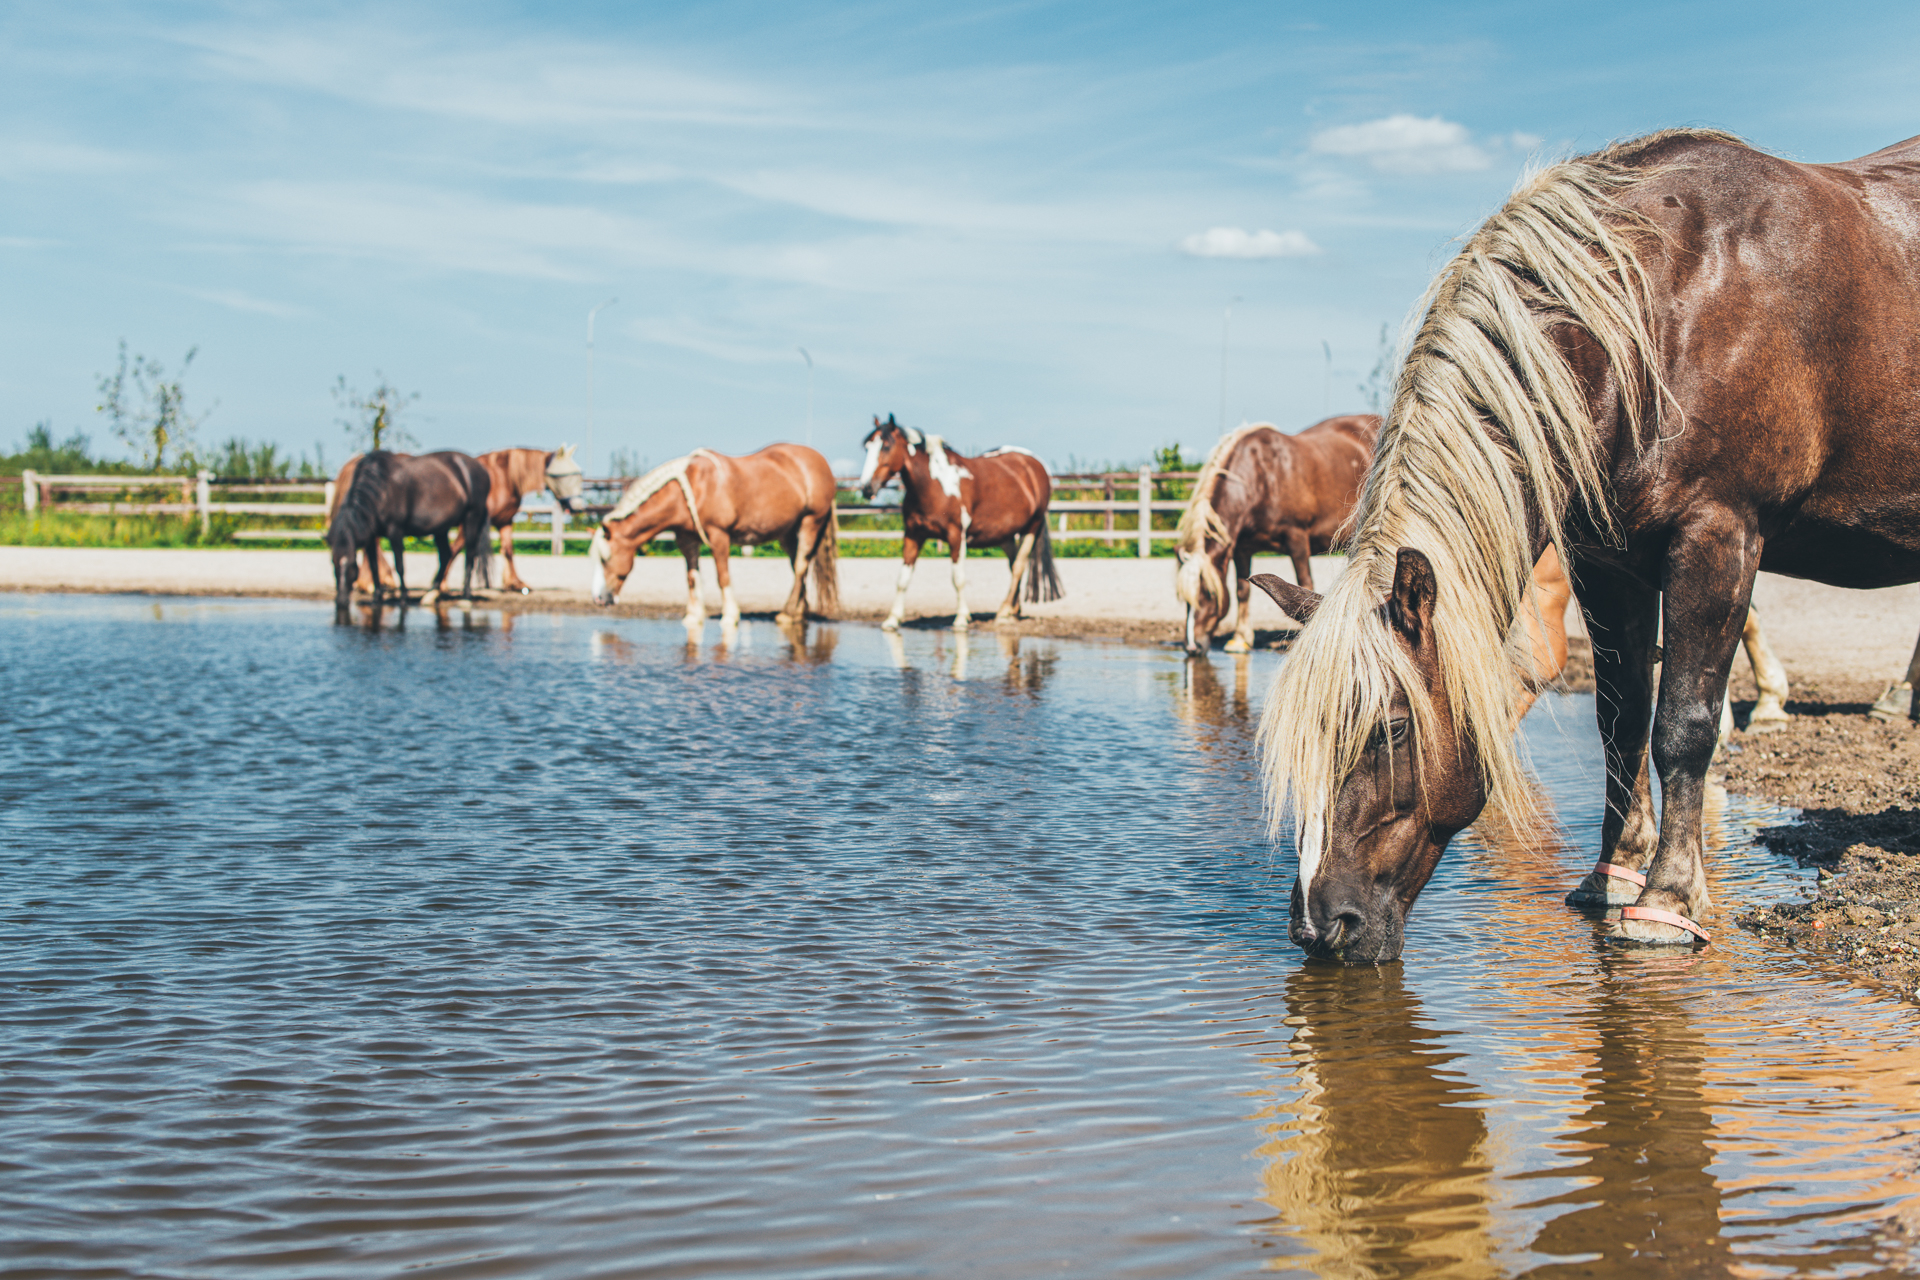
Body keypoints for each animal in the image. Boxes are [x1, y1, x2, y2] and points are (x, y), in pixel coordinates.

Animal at [324, 450, 491, 610]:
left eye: (352, 565)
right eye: (333, 563)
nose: (341, 602)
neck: (380, 489)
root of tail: (482, 469)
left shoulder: (395, 531)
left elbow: (400, 566)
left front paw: (403, 599)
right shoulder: (371, 536)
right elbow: (374, 567)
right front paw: (376, 599)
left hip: (472, 517)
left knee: (470, 555)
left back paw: (465, 597)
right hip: (441, 528)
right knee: (445, 555)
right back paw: (431, 594)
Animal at [587, 443, 837, 629]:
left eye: (605, 559)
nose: (598, 598)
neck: (694, 488)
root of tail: (820, 461)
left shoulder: (719, 536)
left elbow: (722, 577)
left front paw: (730, 616)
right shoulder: (686, 540)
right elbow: (692, 578)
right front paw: (693, 616)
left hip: (810, 522)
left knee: (801, 564)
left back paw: (786, 614)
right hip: (786, 532)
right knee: (797, 567)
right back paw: (799, 612)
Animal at [860, 416, 1067, 629]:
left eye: (886, 446)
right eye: (867, 447)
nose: (867, 487)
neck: (934, 485)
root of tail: (1035, 463)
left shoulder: (956, 536)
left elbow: (958, 578)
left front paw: (961, 618)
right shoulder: (913, 535)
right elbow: (902, 579)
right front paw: (892, 619)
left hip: (1032, 527)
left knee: (1018, 566)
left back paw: (1003, 612)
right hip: (1005, 534)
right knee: (1013, 565)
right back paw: (1012, 610)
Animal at [1167, 418, 1382, 656]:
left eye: (1210, 594)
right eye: (1184, 600)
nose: (1192, 647)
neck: (1261, 477)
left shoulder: (1297, 539)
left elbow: (1304, 583)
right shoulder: (1242, 548)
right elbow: (1242, 590)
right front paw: (1240, 639)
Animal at [1244, 130, 1920, 967]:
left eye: (1392, 729)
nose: (1319, 927)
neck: (1656, 308)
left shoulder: (1719, 533)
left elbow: (1683, 725)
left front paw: (1666, 900)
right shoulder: (1609, 560)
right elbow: (1622, 720)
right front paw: (1612, 875)